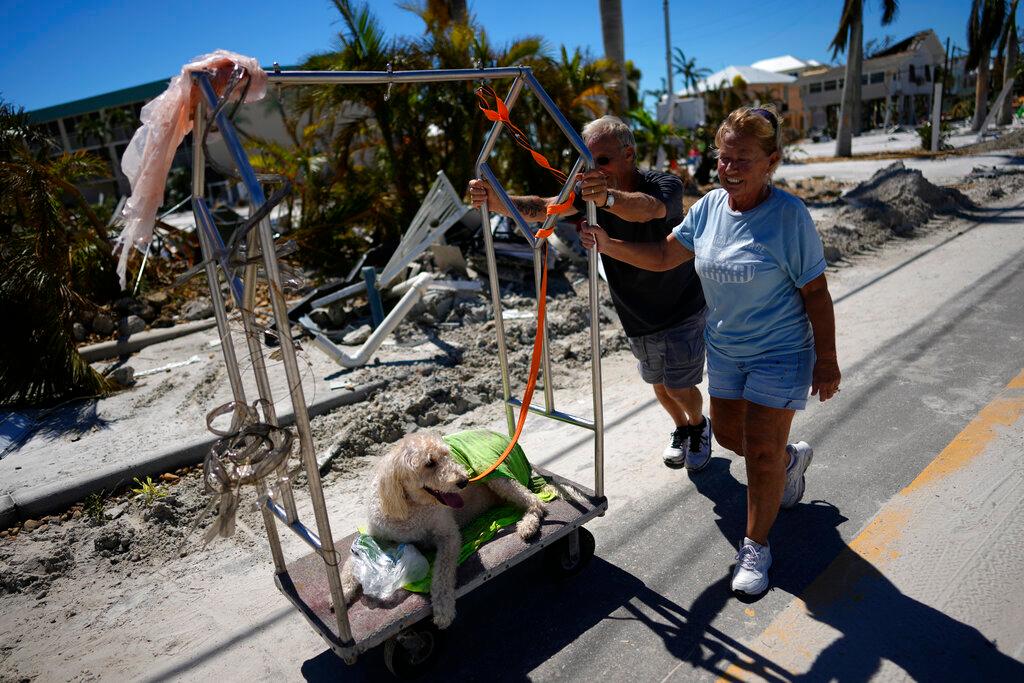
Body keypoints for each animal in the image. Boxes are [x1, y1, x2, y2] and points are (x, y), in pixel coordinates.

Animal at [342, 436, 552, 626]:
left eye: (447, 455)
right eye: (429, 463)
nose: (465, 480)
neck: (410, 506)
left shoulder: (449, 536)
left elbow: (442, 574)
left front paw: (443, 608)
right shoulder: (375, 534)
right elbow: (349, 562)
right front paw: (343, 592)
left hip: (497, 476)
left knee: (537, 502)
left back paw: (528, 525)